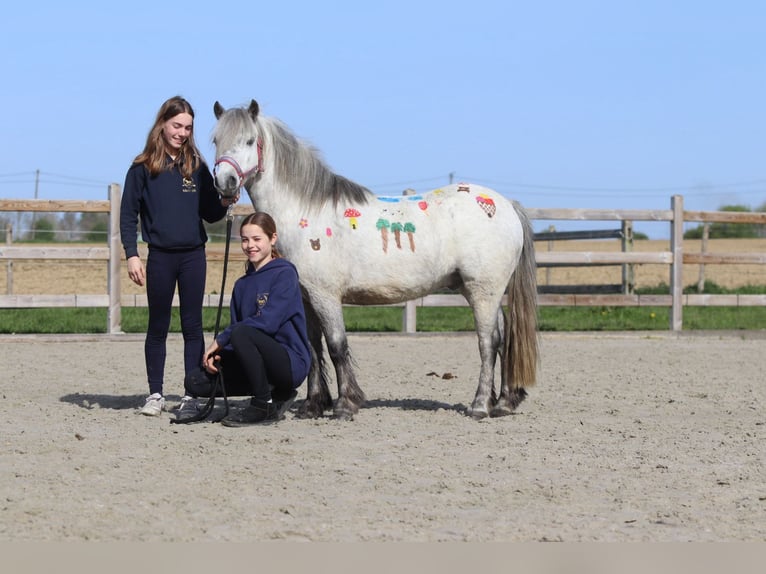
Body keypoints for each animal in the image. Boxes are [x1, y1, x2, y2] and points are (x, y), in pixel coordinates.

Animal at [211, 99, 539, 421]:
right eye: (215, 140)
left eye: (249, 140)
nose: (224, 182)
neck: (305, 212)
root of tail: (506, 205)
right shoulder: (304, 298)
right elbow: (313, 348)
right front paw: (313, 406)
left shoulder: (325, 295)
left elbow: (336, 345)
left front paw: (345, 405)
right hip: (484, 291)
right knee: (502, 337)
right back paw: (504, 402)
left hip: (483, 290)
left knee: (488, 342)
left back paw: (480, 406)